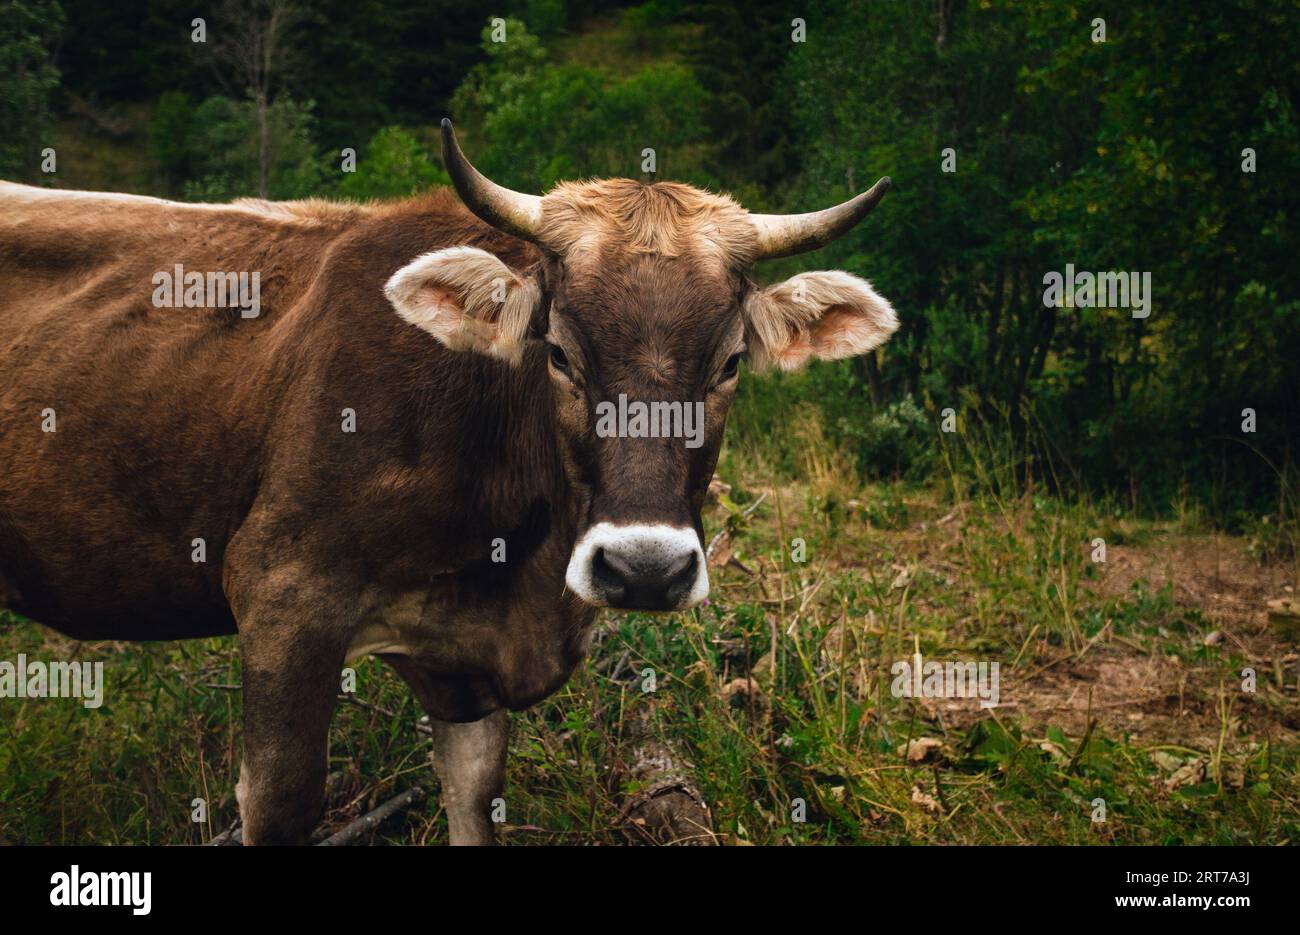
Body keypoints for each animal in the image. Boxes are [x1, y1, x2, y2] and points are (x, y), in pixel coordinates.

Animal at [0, 120, 897, 844]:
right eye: (558, 351)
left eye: (730, 363)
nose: (645, 568)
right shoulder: (283, 597)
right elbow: (280, 803)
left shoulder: (466, 665)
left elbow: (474, 795)